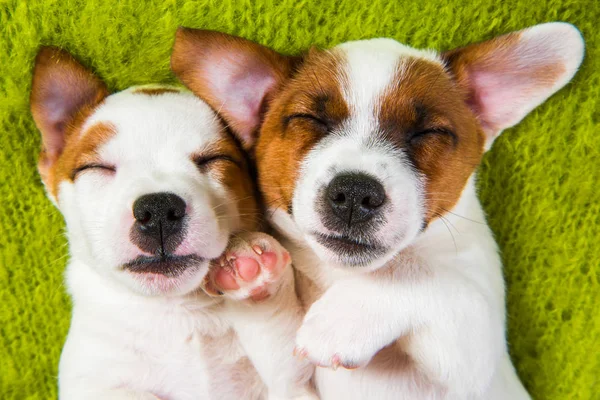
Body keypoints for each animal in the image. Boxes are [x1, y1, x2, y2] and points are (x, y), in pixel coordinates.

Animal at [29, 47, 316, 400]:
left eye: (214, 160)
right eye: (96, 168)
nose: (158, 209)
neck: (177, 313)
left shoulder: (292, 387)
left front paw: (253, 268)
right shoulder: (92, 382)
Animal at [171, 22, 584, 400]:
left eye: (428, 132)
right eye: (310, 120)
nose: (355, 194)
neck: (340, 275)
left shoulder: (475, 354)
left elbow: (433, 278)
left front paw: (343, 319)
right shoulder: (291, 384)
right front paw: (249, 264)